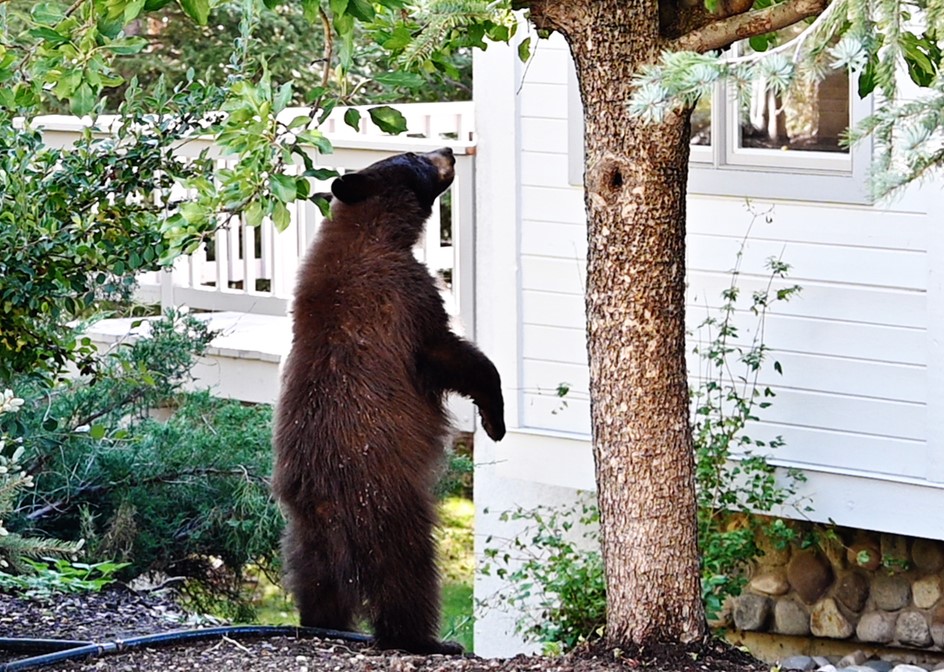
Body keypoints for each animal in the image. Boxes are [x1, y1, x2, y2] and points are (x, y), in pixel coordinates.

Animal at [272, 147, 505, 655]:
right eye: (413, 155)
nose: (448, 149)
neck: (371, 230)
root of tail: (325, 498)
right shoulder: (404, 295)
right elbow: (449, 353)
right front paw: (494, 419)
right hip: (388, 507)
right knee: (408, 576)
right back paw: (427, 640)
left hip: (303, 532)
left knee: (315, 580)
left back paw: (322, 623)